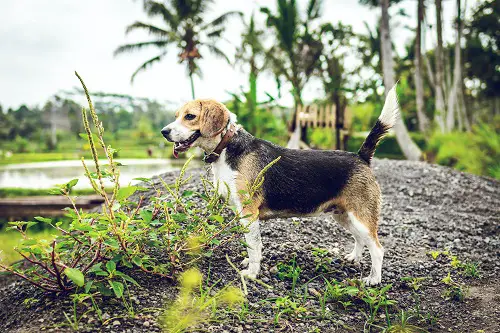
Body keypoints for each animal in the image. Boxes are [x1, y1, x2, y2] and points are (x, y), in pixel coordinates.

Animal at [160, 87, 398, 284]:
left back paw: (373, 279)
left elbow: (254, 245)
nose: (164, 132)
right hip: (344, 215)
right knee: (360, 239)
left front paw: (252, 273)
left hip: (360, 216)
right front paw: (250, 264)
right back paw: (353, 258)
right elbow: (251, 245)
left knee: (377, 249)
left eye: (190, 116)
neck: (227, 145)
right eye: (176, 116)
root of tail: (361, 156)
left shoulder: (249, 212)